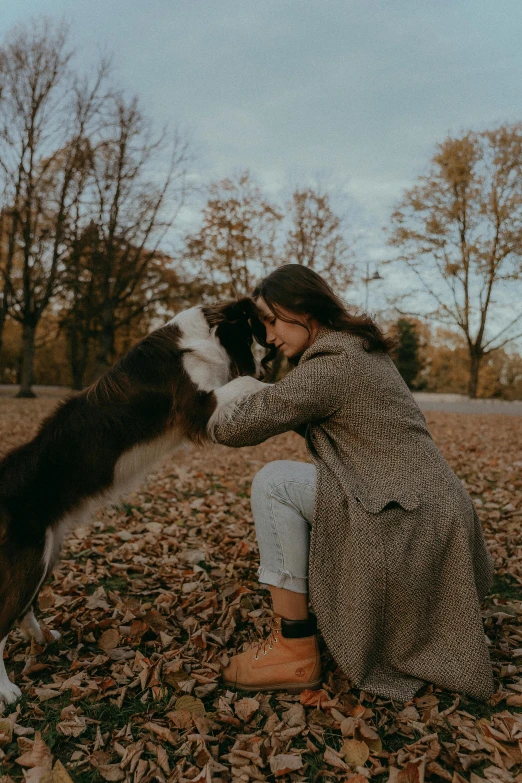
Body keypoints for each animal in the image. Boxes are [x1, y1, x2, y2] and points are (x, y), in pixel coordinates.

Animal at [0, 300, 266, 704]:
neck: (202, 336)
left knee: (23, 608)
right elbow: (248, 384)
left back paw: (40, 637)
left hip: (45, 554)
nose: (270, 355)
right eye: (253, 332)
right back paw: (6, 689)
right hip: (27, 559)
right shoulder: (197, 407)